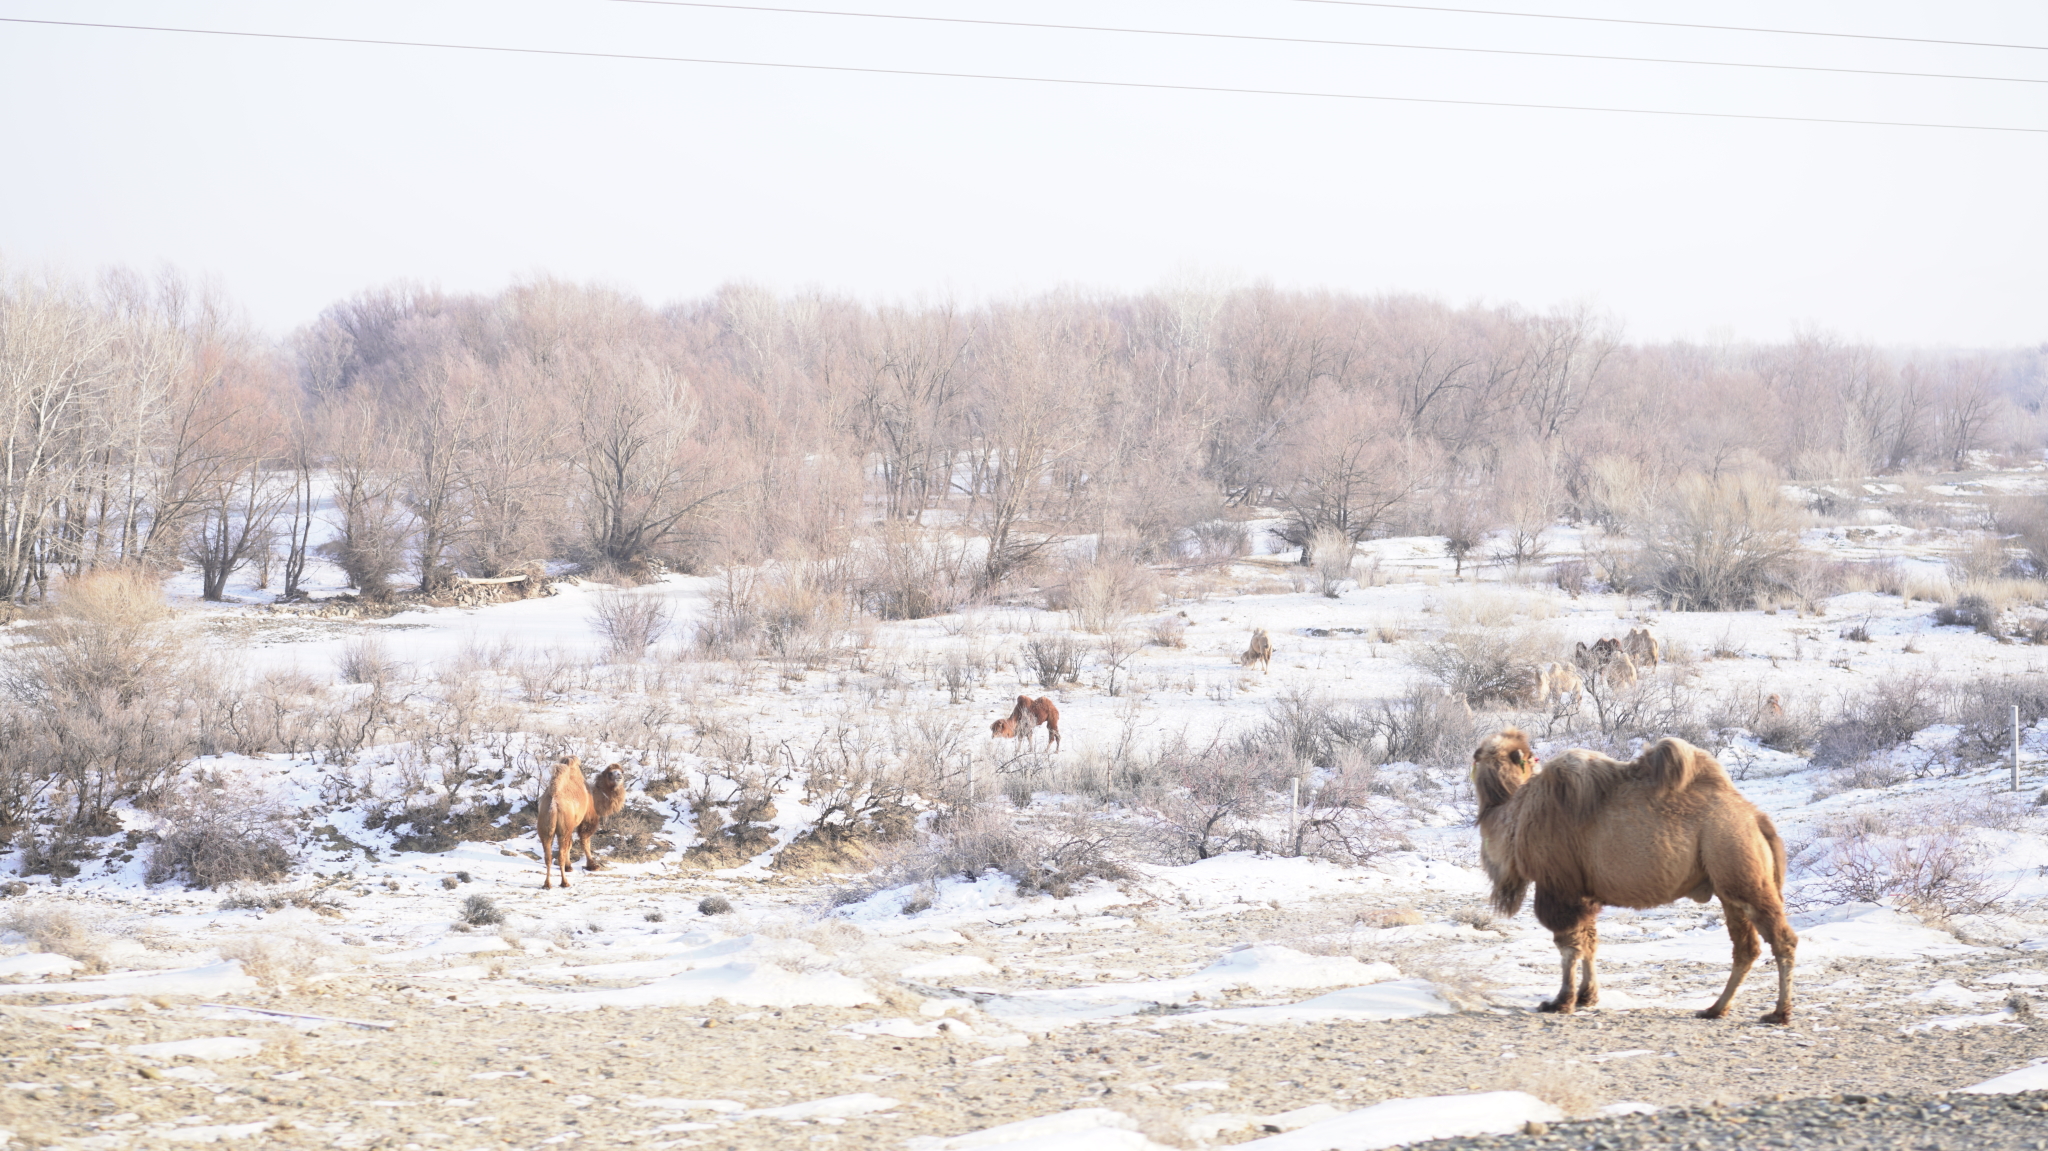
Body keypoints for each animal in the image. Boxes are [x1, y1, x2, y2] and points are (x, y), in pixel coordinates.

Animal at [1474, 725, 1794, 1019]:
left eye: (1485, 753)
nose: (1474, 755)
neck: (1515, 814)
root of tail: (1756, 817)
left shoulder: (1559, 887)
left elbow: (1569, 946)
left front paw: (1560, 1002)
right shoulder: (1585, 893)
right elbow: (1590, 941)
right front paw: (1587, 997)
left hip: (1739, 865)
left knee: (1782, 940)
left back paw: (1779, 1013)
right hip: (1728, 887)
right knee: (1746, 947)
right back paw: (1715, 1009)